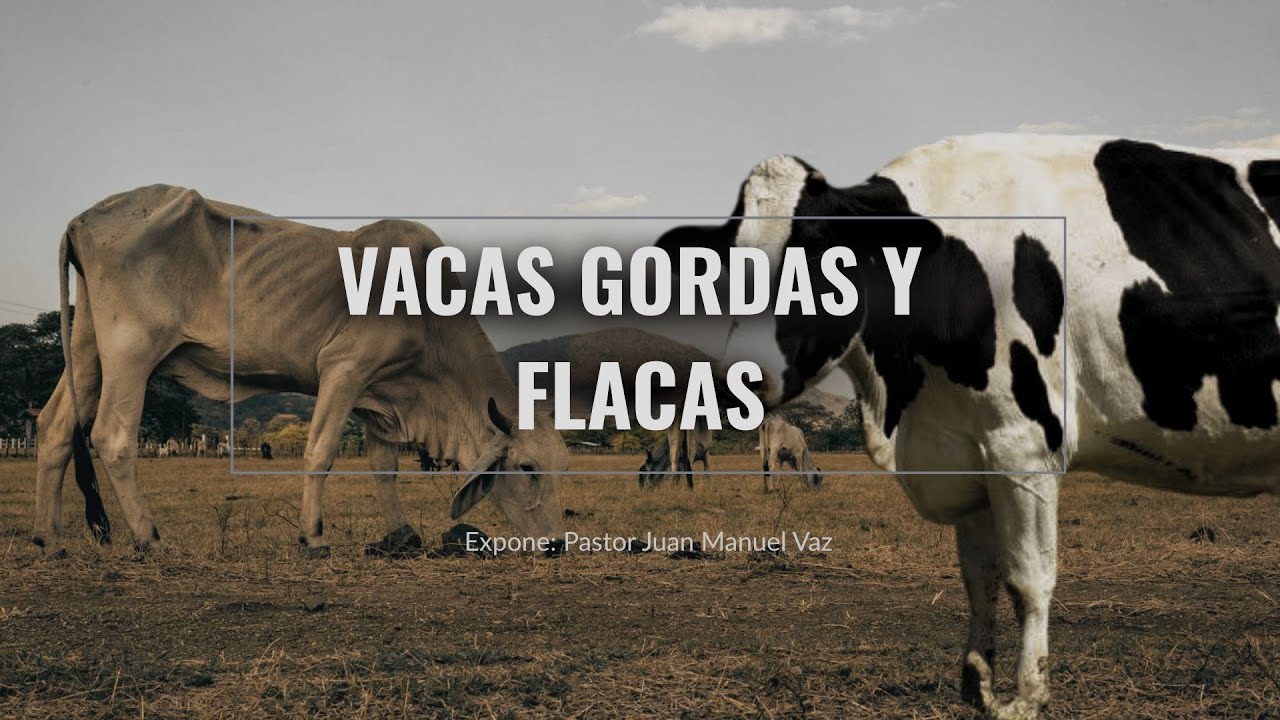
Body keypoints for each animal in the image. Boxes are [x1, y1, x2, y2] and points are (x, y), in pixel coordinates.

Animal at [34, 184, 569, 560]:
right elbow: (320, 453)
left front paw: (400, 535)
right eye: (527, 468)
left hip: (88, 347)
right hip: (133, 351)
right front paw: (313, 538)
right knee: (112, 435)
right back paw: (148, 538)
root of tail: (81, 220)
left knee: (54, 427)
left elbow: (384, 466)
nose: (557, 544)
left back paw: (49, 540)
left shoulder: (379, 394)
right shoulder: (345, 368)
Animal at [656, 134, 1280, 718]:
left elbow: (1028, 578)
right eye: (724, 267)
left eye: (823, 256)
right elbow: (979, 579)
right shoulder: (964, 445)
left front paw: (1026, 696)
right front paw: (976, 683)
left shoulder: (1023, 446)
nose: (744, 374)